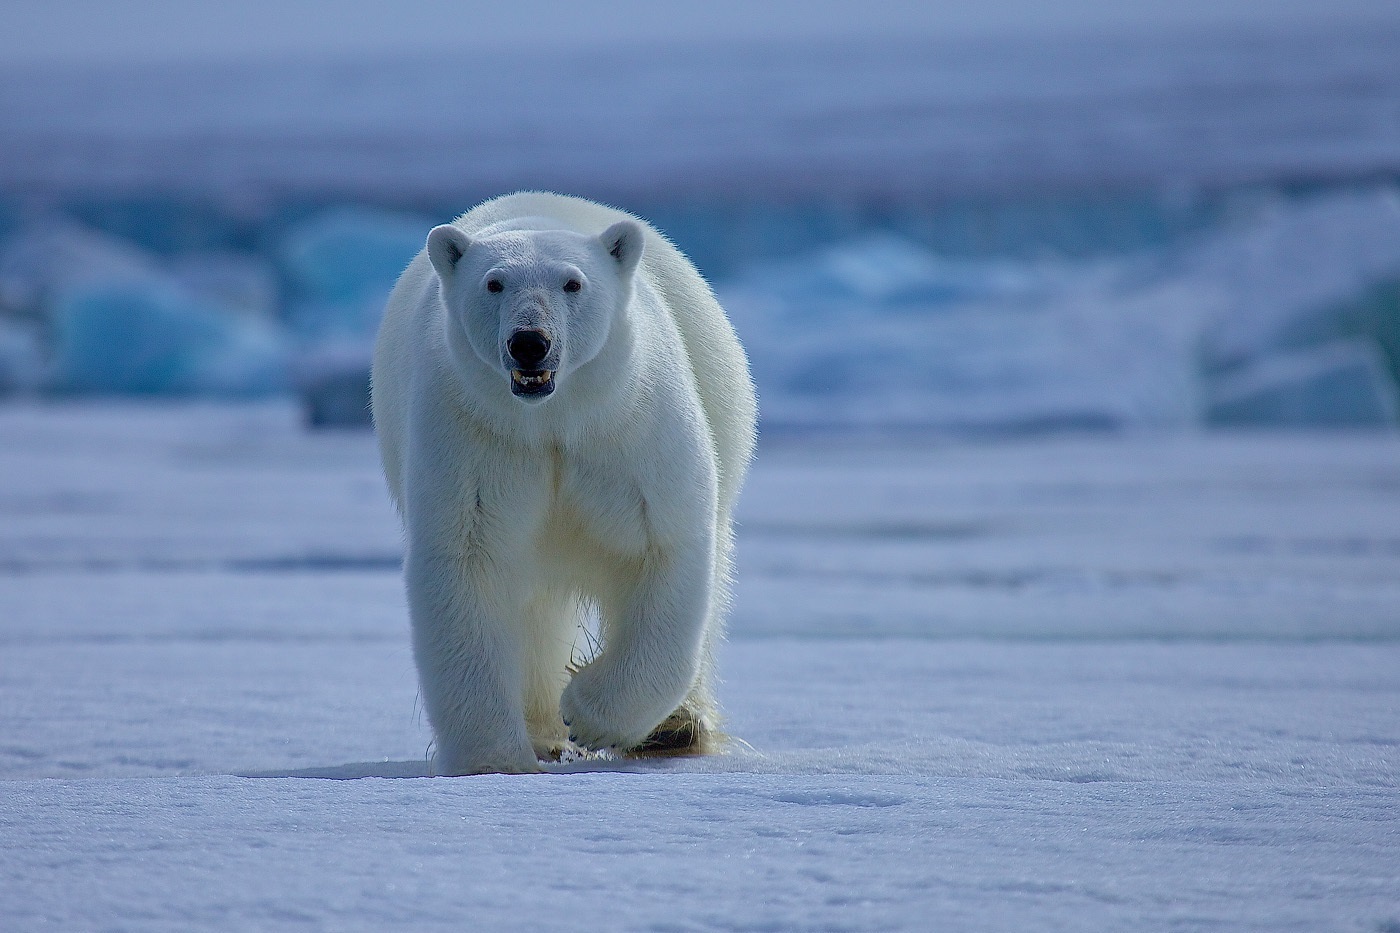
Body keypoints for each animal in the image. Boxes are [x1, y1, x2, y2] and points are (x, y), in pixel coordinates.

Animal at [372, 189, 756, 767]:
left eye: (572, 282)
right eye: (494, 282)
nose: (530, 342)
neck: (550, 420)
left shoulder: (627, 428)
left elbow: (664, 544)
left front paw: (590, 716)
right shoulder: (474, 436)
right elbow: (466, 562)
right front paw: (494, 759)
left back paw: (674, 728)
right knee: (533, 611)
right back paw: (542, 732)